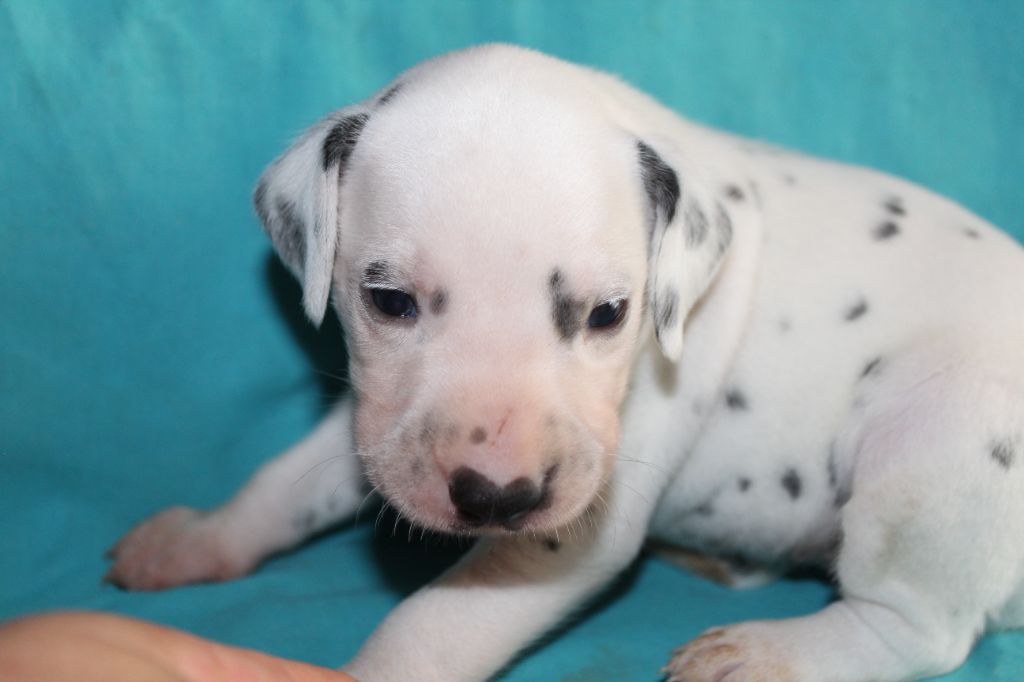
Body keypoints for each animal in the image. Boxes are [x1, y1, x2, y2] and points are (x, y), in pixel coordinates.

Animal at [106, 44, 1024, 681]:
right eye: (390, 301)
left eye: (609, 314)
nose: (497, 496)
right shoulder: (377, 423)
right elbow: (285, 486)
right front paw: (197, 541)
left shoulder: (575, 524)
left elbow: (429, 626)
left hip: (937, 444)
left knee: (919, 628)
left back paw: (766, 654)